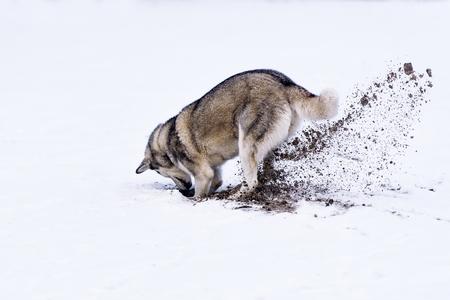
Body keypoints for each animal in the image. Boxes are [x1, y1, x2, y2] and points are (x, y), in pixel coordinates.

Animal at [137, 69, 338, 198]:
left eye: (160, 172)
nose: (184, 192)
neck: (166, 142)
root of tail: (284, 83)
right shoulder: (213, 170)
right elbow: (216, 183)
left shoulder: (202, 173)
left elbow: (201, 193)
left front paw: (195, 200)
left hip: (246, 144)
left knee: (252, 182)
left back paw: (237, 195)